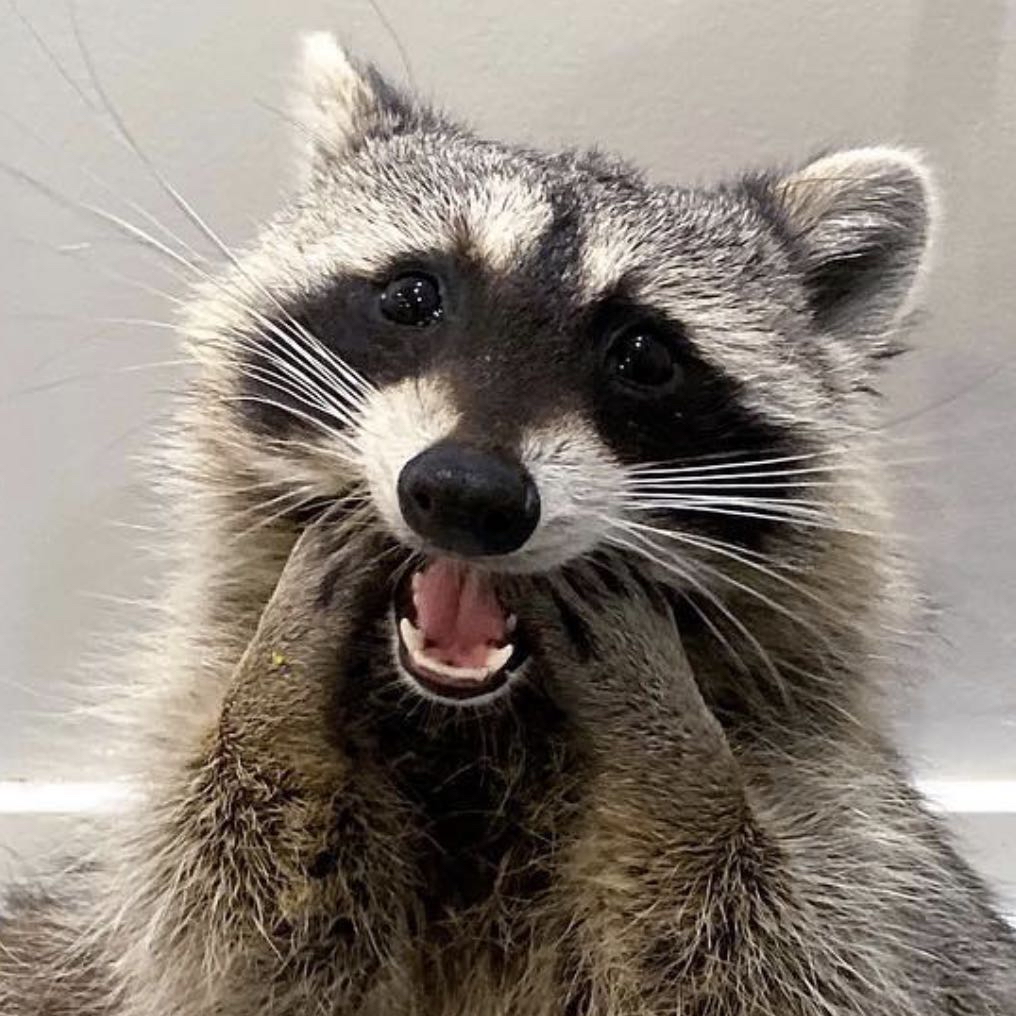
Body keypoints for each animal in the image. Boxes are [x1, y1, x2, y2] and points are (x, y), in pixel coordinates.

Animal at [1, 30, 1014, 1016]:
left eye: (644, 355)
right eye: (412, 296)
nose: (466, 493)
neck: (473, 727)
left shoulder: (851, 826)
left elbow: (775, 951)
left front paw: (676, 761)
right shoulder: (191, 707)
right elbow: (234, 915)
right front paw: (277, 691)